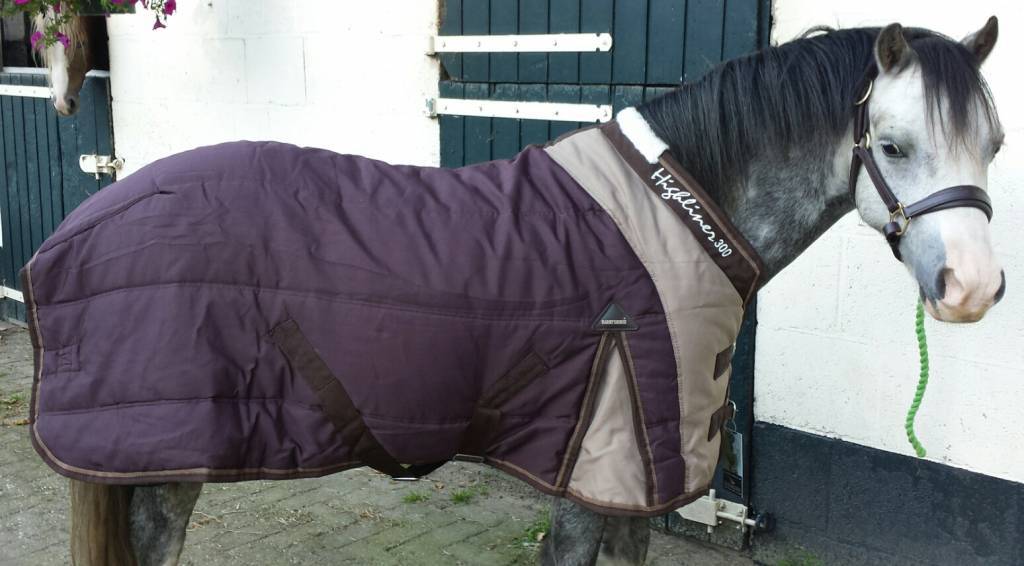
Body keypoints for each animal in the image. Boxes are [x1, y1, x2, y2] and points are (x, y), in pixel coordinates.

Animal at [33, 17, 1003, 566]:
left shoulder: (633, 478)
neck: (678, 212)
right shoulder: (594, 463)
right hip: (168, 462)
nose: (974, 289)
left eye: (992, 141)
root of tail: (73, 233)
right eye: (893, 144)